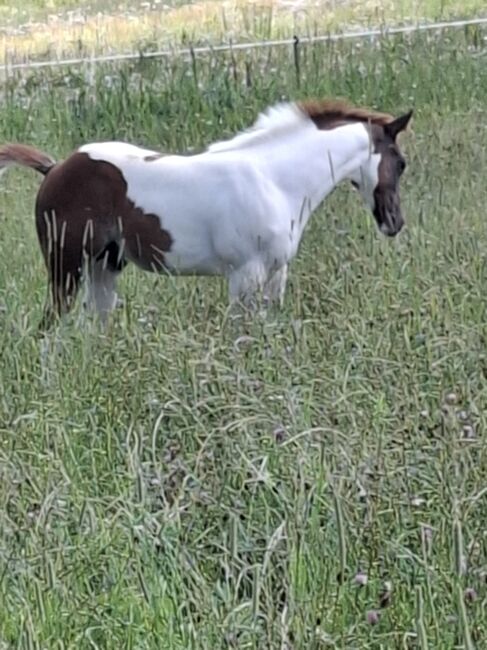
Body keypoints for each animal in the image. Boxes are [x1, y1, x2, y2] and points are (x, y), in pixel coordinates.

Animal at [0, 97, 412, 330]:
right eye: (401, 163)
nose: (394, 223)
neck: (274, 179)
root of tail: (54, 169)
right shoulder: (244, 275)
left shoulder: (276, 273)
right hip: (65, 267)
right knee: (49, 329)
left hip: (104, 267)